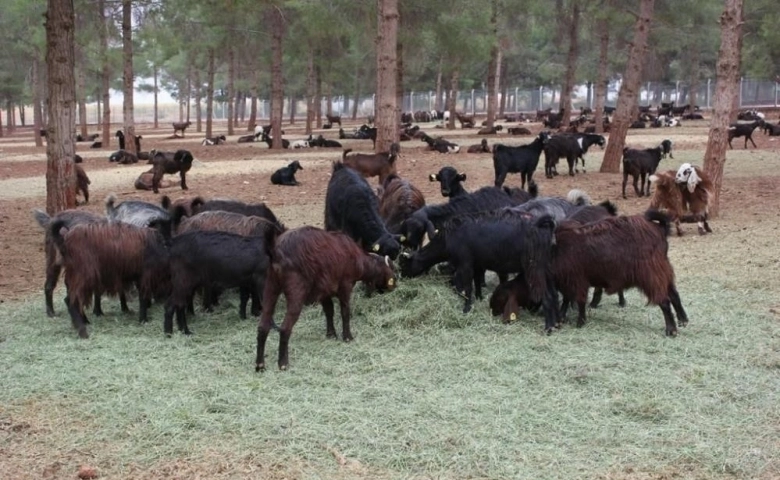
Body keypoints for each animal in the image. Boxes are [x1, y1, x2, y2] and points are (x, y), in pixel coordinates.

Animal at [256, 226, 396, 372]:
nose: (395, 284)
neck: (358, 259)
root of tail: (275, 251)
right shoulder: (345, 286)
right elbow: (345, 312)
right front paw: (347, 337)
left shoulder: (324, 292)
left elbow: (329, 311)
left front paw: (331, 334)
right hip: (296, 293)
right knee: (284, 328)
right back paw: (283, 363)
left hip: (270, 289)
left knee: (262, 327)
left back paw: (260, 365)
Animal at [548, 212, 688, 336]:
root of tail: (659, 229)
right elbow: (567, 299)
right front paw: (562, 318)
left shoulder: (577, 280)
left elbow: (579, 300)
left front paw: (579, 322)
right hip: (663, 272)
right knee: (674, 294)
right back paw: (683, 320)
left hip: (651, 276)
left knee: (664, 301)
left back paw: (671, 330)